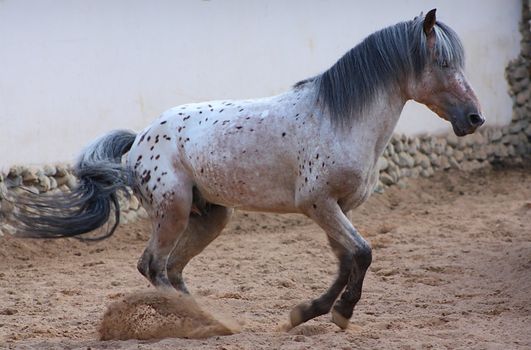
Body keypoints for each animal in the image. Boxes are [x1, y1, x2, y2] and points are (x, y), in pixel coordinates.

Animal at [11, 9, 486, 330]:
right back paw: (204, 322)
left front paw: (308, 313)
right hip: (172, 211)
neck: (338, 119)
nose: (475, 118)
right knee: (153, 267)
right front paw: (340, 314)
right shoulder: (318, 204)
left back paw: (210, 320)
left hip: (210, 217)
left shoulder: (339, 208)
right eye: (443, 63)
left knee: (172, 270)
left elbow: (346, 260)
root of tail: (139, 139)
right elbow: (363, 253)